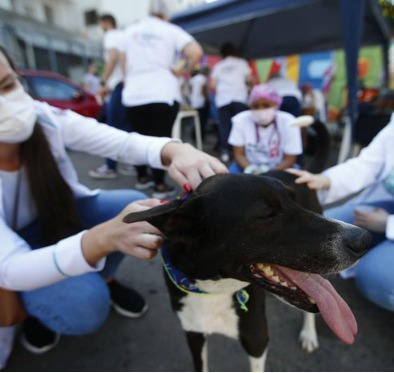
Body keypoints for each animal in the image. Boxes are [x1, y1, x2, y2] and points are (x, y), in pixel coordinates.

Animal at [124, 173, 370, 370]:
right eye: (267, 214)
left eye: (294, 199)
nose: (364, 240)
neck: (212, 290)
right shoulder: (193, 334)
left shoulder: (256, 341)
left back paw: (309, 334)